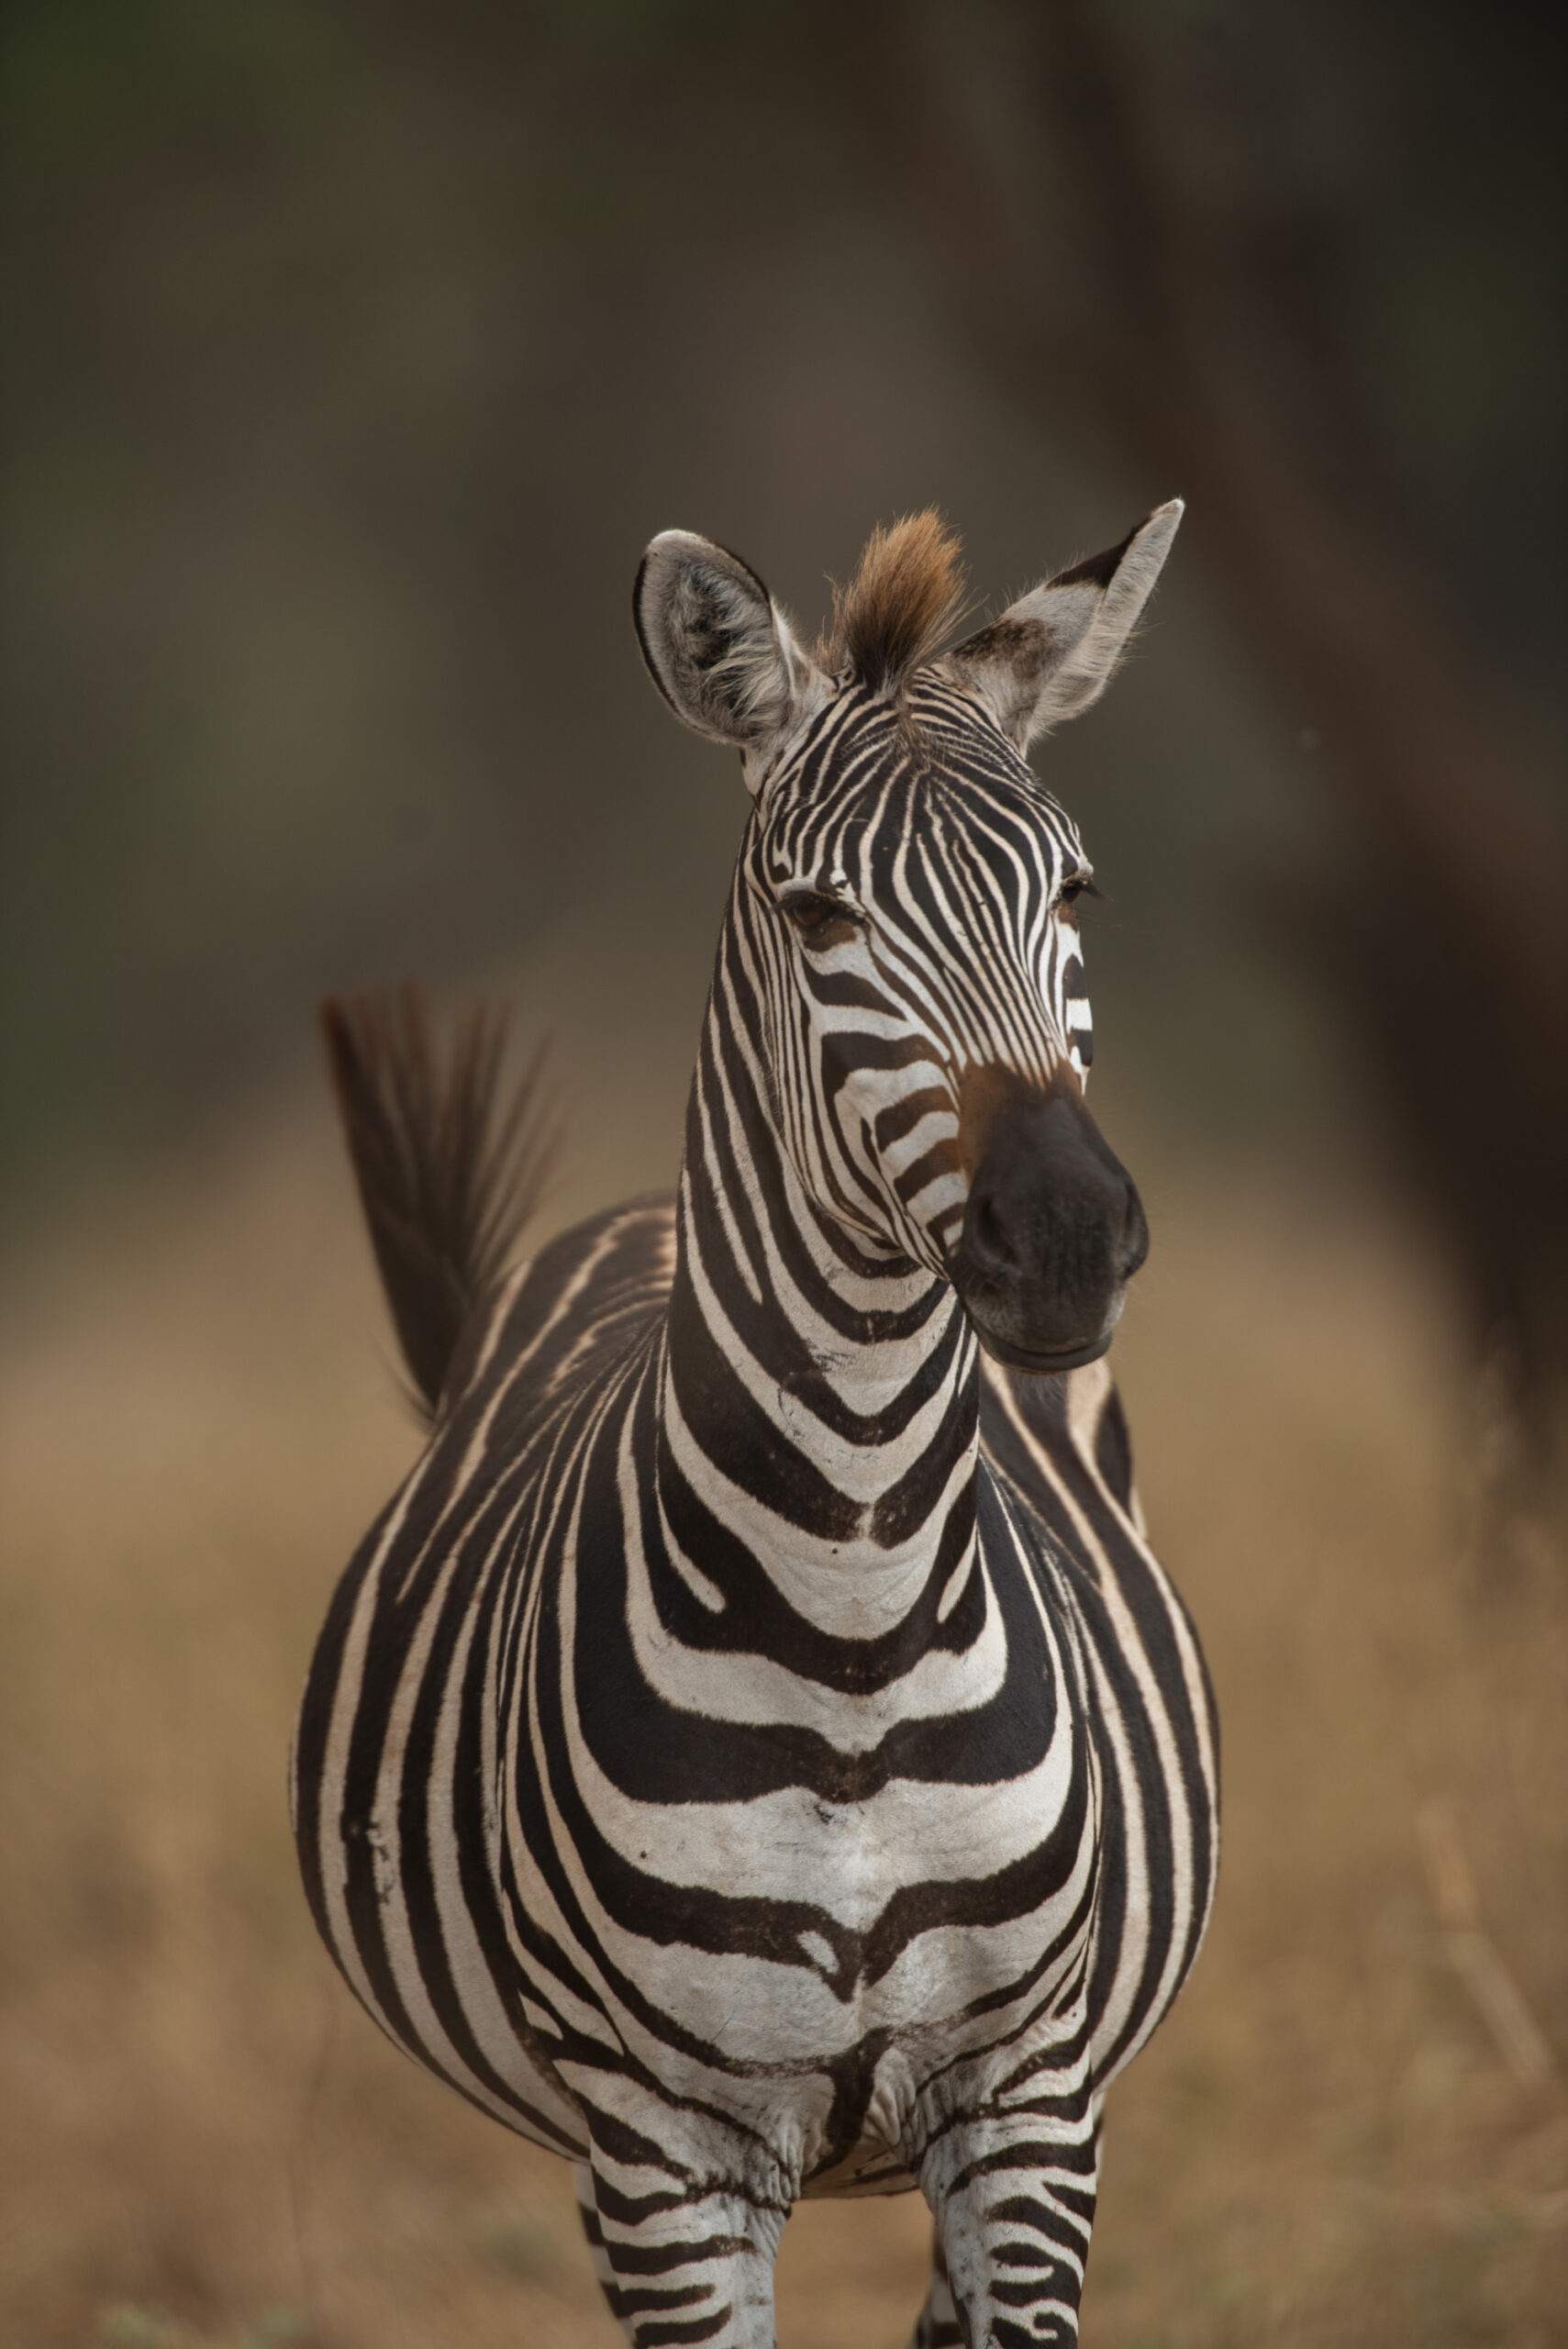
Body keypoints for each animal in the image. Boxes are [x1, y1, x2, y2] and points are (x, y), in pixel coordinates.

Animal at [292, 505, 1219, 2348]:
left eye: (1071, 888)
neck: (853, 1614)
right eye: (813, 911)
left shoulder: (1030, 2105)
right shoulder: (668, 2157)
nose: (1066, 1238)